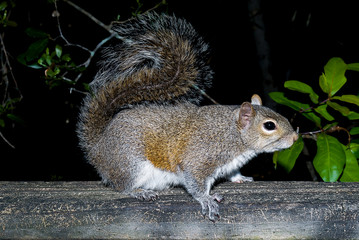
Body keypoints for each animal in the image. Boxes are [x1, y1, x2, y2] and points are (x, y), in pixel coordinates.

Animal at [77, 11, 300, 221]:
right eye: (269, 125)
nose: (295, 137)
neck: (233, 135)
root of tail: (97, 148)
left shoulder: (228, 164)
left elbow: (231, 173)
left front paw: (241, 178)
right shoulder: (199, 158)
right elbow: (195, 181)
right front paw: (207, 199)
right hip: (130, 162)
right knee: (122, 186)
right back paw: (139, 192)